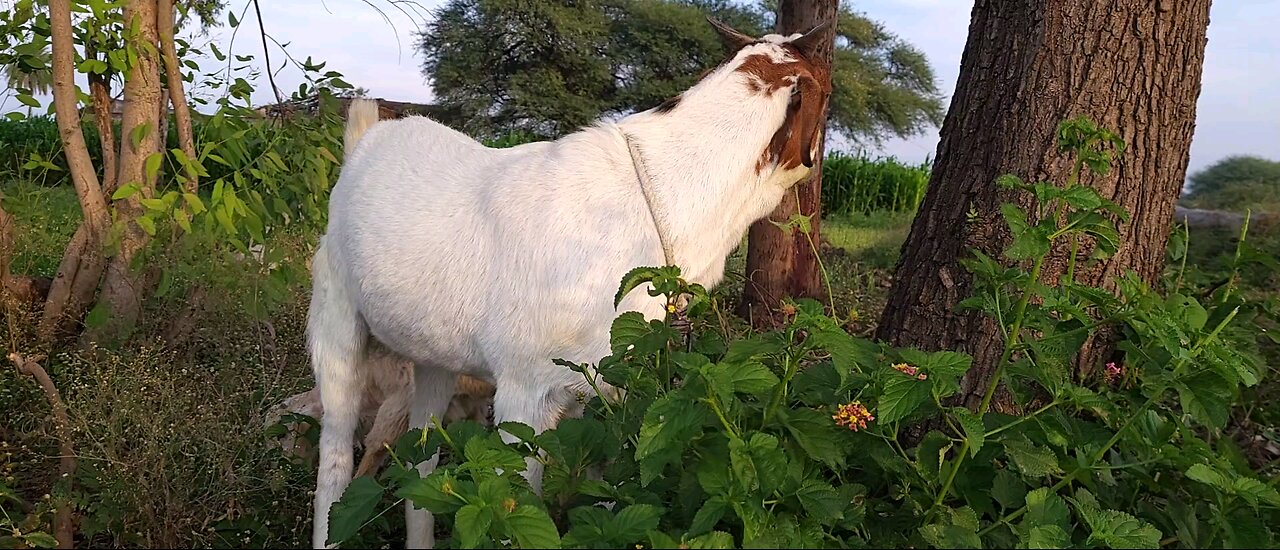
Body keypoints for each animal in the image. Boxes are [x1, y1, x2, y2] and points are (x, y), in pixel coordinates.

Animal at [308, 19, 829, 547]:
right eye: (827, 91)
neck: (666, 196)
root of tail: (363, 146)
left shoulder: (612, 390)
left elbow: (611, 496)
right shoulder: (523, 393)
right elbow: (513, 508)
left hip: (433, 352)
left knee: (425, 458)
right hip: (336, 317)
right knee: (336, 447)